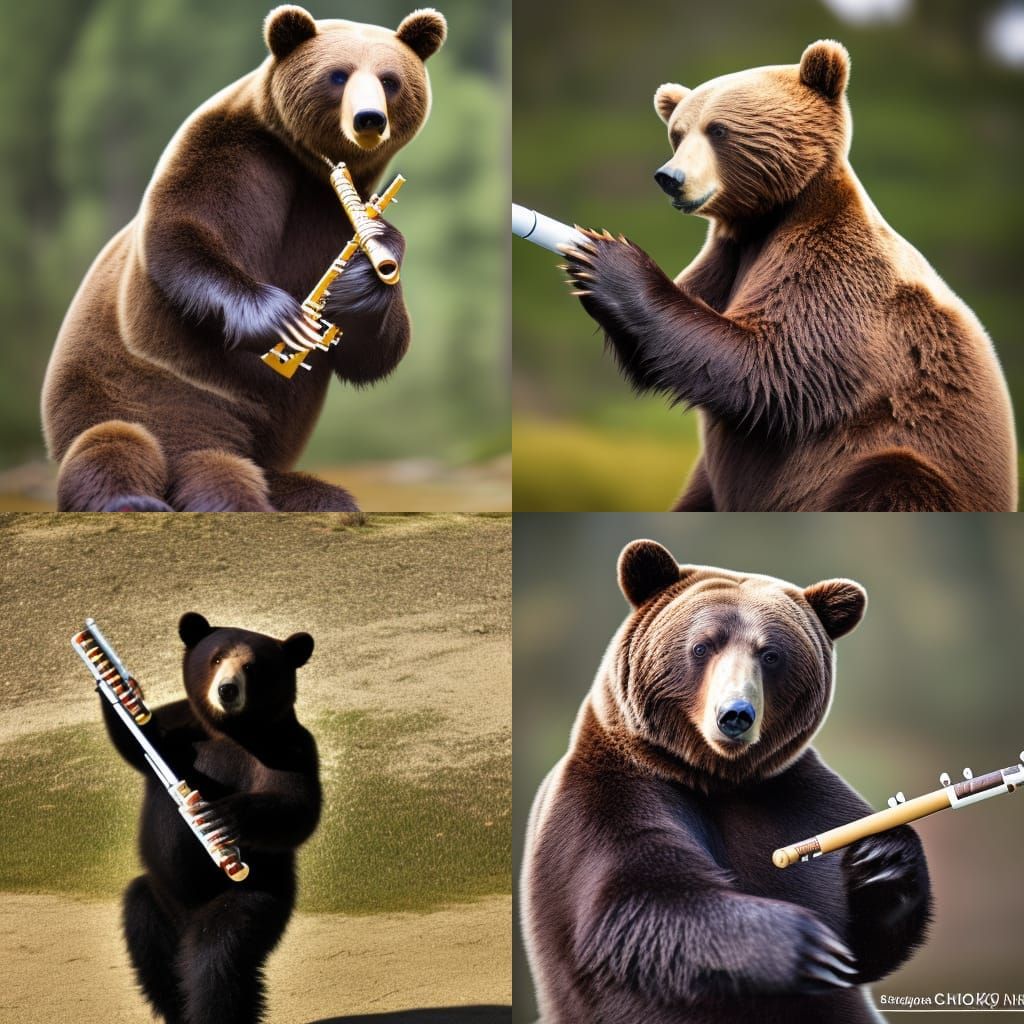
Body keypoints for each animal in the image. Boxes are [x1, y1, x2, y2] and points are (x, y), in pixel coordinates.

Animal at [42, 5, 447, 512]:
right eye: (338, 75)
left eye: (390, 80)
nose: (369, 119)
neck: (309, 167)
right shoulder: (226, 153)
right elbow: (181, 237)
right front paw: (282, 319)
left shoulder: (327, 215)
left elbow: (372, 350)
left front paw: (366, 275)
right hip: (128, 393)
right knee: (115, 441)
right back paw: (134, 499)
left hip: (248, 441)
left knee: (259, 476)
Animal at [100, 612, 321, 1024]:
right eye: (217, 658)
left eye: (252, 666)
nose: (227, 690)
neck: (229, 732)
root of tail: (185, 916)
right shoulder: (179, 727)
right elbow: (135, 742)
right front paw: (116, 684)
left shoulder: (289, 749)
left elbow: (296, 807)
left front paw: (218, 815)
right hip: (155, 897)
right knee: (153, 953)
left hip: (251, 894)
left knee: (217, 958)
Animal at [521, 540, 932, 1024]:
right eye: (701, 646)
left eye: (771, 655)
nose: (735, 714)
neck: (714, 777)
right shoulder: (611, 798)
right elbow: (633, 901)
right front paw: (804, 947)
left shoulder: (792, 797)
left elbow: (863, 947)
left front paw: (881, 860)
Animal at [561, 40, 1017, 511]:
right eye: (678, 133)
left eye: (718, 130)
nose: (670, 177)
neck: (768, 221)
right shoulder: (728, 259)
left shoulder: (838, 271)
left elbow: (771, 365)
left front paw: (608, 260)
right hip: (705, 485)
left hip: (904, 458)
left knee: (895, 480)